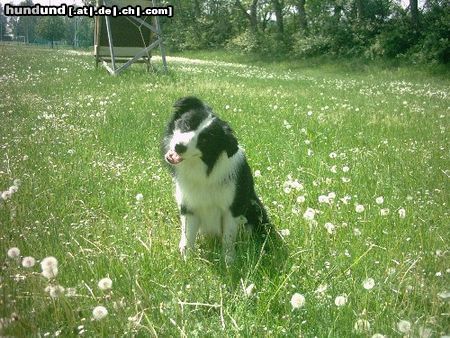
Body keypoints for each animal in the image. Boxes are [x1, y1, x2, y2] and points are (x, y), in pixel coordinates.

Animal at [164, 96, 272, 262]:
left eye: (205, 140)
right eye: (187, 124)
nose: (179, 147)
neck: (205, 171)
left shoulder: (232, 207)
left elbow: (228, 238)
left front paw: (229, 262)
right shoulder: (189, 205)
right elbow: (188, 236)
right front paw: (187, 260)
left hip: (254, 207)